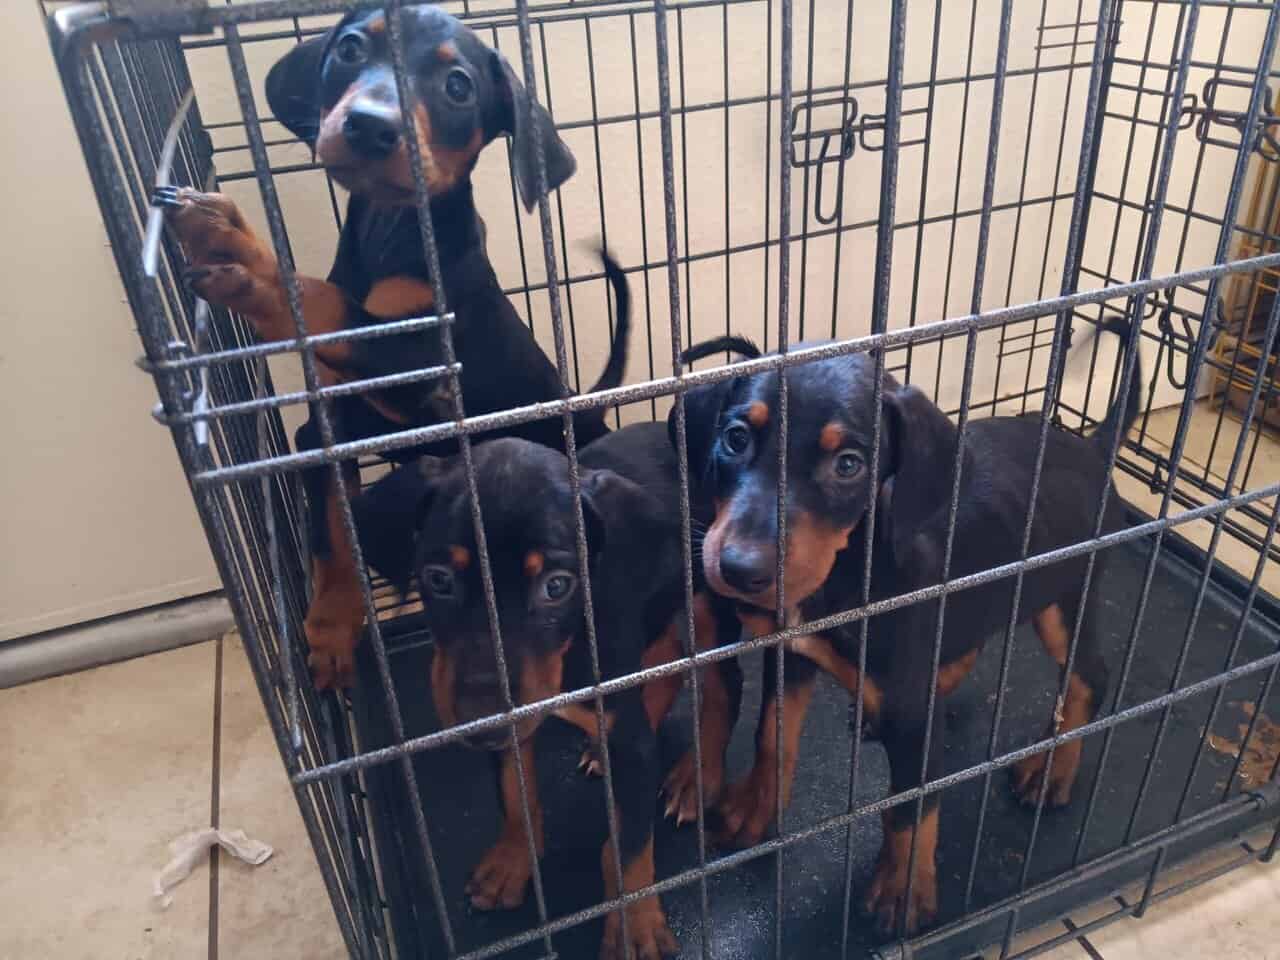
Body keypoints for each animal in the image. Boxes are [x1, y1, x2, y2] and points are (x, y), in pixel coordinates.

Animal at [155, 6, 629, 689]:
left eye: (457, 86)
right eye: (352, 49)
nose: (370, 125)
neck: (393, 232)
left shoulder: (423, 371)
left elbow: (330, 306)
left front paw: (244, 253)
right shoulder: (323, 433)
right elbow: (334, 535)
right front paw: (331, 629)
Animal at [354, 422, 746, 960]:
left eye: (557, 586)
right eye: (438, 579)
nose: (481, 718)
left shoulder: (627, 737)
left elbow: (629, 845)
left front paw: (634, 924)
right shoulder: (514, 725)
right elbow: (513, 793)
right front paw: (511, 862)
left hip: (707, 601)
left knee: (725, 684)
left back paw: (696, 777)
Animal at [670, 326, 1139, 936]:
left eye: (849, 464)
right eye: (735, 438)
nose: (739, 570)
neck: (849, 569)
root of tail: (1090, 448)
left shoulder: (909, 713)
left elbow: (911, 804)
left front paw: (902, 887)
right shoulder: (792, 656)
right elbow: (772, 735)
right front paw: (755, 806)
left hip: (1063, 601)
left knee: (1088, 679)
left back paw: (1051, 771)